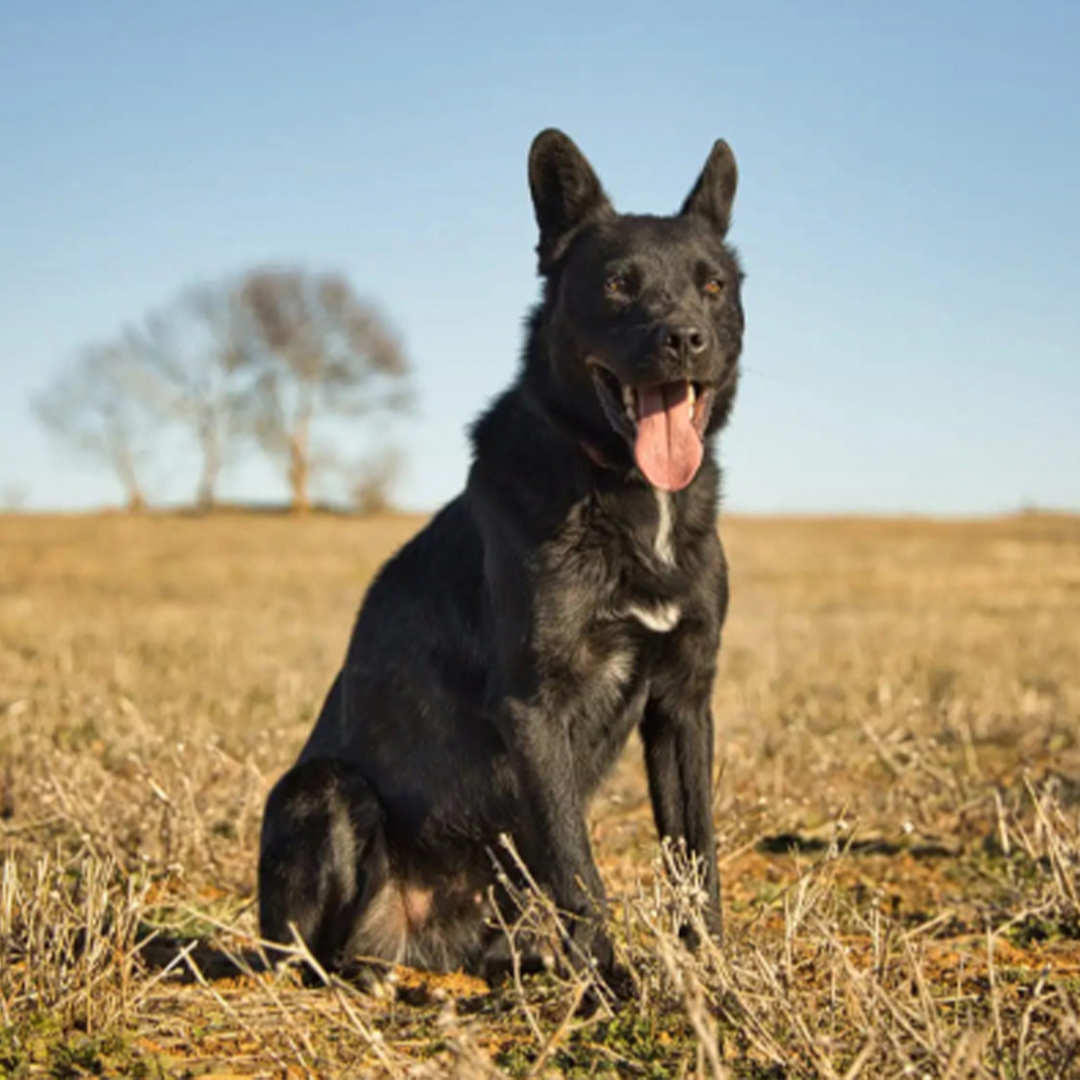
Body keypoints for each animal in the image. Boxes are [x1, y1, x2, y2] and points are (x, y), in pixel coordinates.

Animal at [255, 130, 743, 984]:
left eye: (712, 286)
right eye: (618, 285)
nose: (685, 339)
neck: (624, 493)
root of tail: (418, 940)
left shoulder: (684, 700)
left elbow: (695, 856)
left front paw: (710, 972)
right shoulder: (535, 707)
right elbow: (580, 869)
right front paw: (609, 987)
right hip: (323, 791)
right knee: (314, 954)